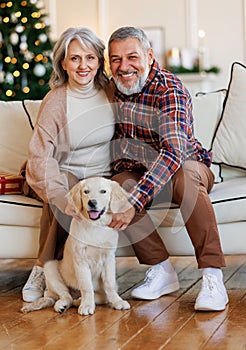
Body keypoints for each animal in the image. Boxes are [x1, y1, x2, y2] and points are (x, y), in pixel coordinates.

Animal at [21, 176, 131, 316]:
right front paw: (87, 305)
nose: (92, 202)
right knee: (66, 295)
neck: (95, 226)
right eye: (86, 192)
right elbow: (86, 286)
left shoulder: (109, 259)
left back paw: (79, 301)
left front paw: (117, 301)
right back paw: (64, 304)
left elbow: (109, 284)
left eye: (103, 191)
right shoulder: (80, 260)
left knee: (100, 296)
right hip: (50, 267)